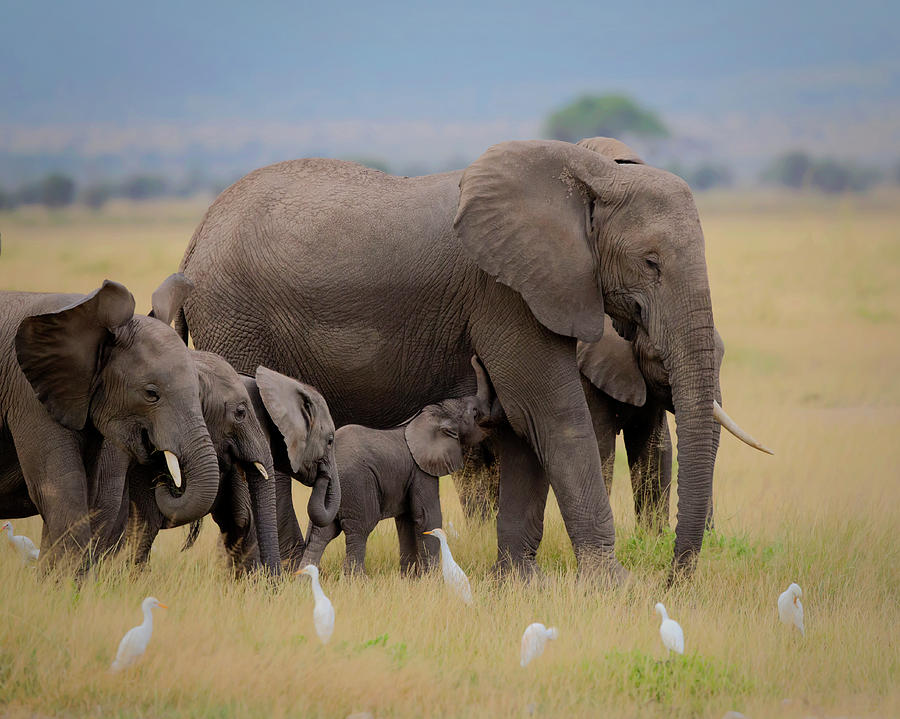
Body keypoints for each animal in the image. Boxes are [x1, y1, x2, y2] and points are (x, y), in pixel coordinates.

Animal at [304, 358, 500, 576]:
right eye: (474, 413)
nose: (475, 358)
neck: (423, 419)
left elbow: (405, 521)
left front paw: (410, 577)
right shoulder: (421, 471)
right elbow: (426, 517)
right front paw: (432, 577)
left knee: (321, 534)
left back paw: (303, 578)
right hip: (358, 486)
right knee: (359, 530)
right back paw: (356, 579)